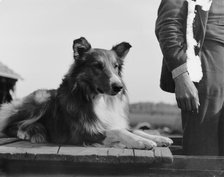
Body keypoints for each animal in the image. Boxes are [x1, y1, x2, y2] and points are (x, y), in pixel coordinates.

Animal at [0, 37, 172, 149]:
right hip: (41, 98)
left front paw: (158, 137)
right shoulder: (82, 132)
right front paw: (142, 142)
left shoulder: (108, 121)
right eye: (97, 66)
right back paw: (26, 133)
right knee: (10, 124)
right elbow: (117, 131)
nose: (118, 87)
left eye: (115, 66)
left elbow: (132, 129)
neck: (98, 98)